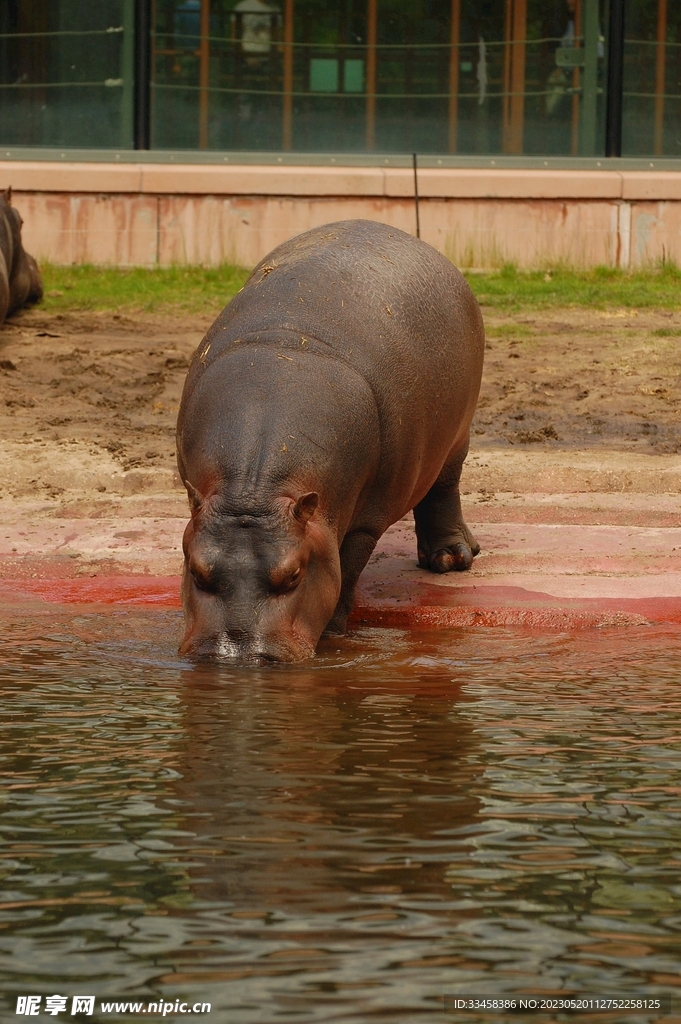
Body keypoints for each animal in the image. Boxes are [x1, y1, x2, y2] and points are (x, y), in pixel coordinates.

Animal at [175, 218, 483, 663]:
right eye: (196, 570)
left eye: (294, 574)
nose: (239, 656)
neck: (255, 492)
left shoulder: (365, 522)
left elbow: (346, 569)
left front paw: (335, 632)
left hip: (457, 437)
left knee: (444, 488)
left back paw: (450, 560)